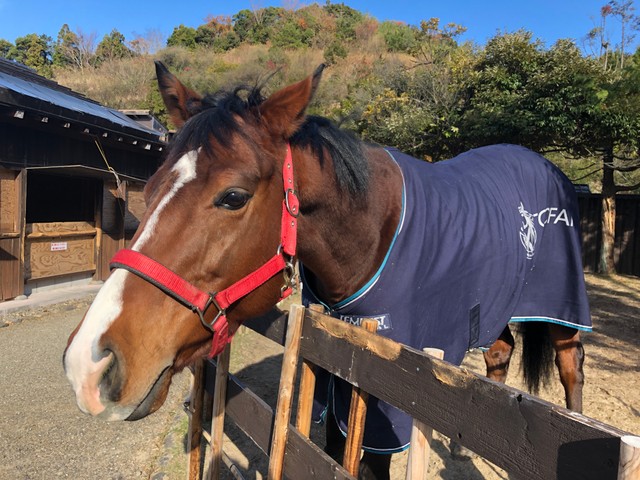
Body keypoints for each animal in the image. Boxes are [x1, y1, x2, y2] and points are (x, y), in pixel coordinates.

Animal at [64, 62, 591, 479]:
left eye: (233, 197)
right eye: (150, 187)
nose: (89, 365)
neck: (373, 231)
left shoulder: (390, 395)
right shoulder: (339, 379)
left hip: (561, 307)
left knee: (571, 370)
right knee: (499, 354)